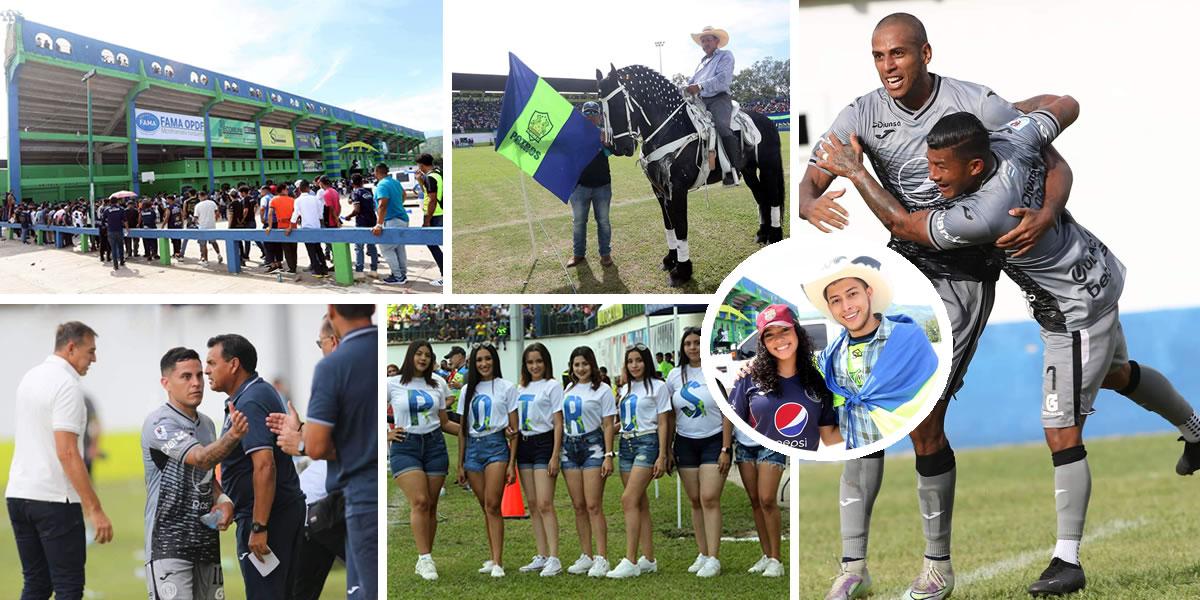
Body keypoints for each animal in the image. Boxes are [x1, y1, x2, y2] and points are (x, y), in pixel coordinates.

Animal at [592, 65, 782, 288]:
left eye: (617, 104)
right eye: (599, 106)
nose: (617, 148)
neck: (670, 130)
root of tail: (766, 119)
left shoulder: (678, 190)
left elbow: (681, 227)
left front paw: (682, 271)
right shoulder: (660, 191)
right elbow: (669, 226)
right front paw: (670, 259)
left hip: (769, 167)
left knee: (774, 198)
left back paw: (775, 235)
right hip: (749, 171)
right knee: (761, 197)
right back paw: (762, 233)